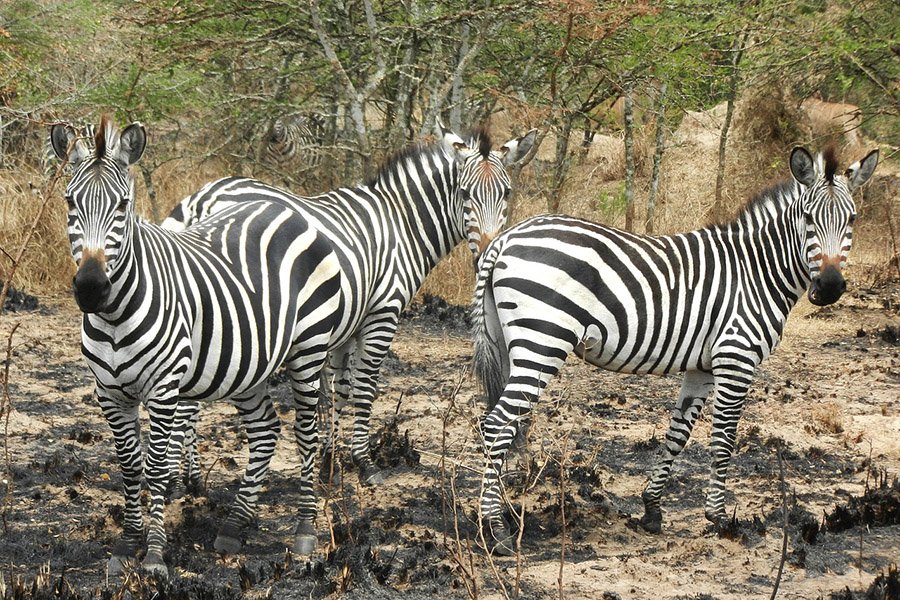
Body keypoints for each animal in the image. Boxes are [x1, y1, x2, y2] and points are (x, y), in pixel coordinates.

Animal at [50, 116, 344, 572]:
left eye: (122, 206)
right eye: (69, 202)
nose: (92, 288)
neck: (113, 316)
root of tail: (284, 205)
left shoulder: (164, 387)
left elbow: (155, 467)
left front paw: (154, 556)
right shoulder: (109, 393)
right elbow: (129, 468)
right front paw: (126, 546)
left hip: (309, 348)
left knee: (306, 432)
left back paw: (305, 534)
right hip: (249, 362)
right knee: (265, 430)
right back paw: (234, 527)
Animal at [163, 124, 536, 486]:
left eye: (506, 193)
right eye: (464, 193)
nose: (486, 253)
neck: (400, 224)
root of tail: (201, 199)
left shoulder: (346, 322)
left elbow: (339, 388)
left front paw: (330, 459)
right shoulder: (382, 313)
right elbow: (364, 386)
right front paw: (365, 462)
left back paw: (186, 477)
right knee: (187, 405)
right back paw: (185, 481)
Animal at [472, 144, 880, 552]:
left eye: (852, 219)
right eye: (808, 218)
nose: (829, 287)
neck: (756, 270)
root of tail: (505, 239)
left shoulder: (702, 366)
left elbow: (678, 433)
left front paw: (652, 509)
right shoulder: (736, 357)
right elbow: (724, 440)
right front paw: (718, 518)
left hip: (509, 343)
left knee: (499, 422)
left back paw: (502, 513)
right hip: (543, 341)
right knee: (496, 424)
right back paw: (495, 530)